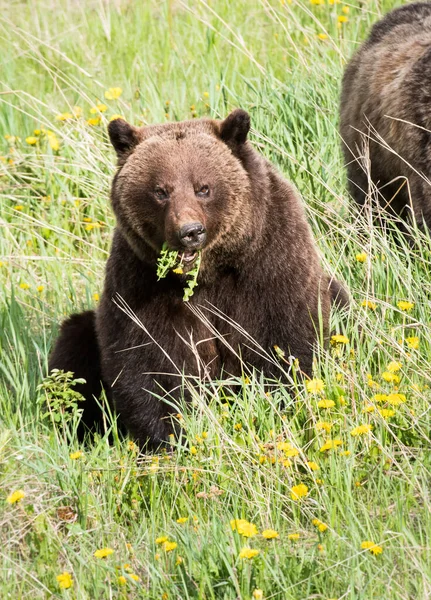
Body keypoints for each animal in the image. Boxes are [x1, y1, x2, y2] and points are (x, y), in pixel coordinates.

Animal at [49, 110, 350, 448]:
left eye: (203, 188)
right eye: (160, 190)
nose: (190, 231)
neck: (208, 272)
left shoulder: (270, 259)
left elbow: (285, 337)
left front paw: (279, 403)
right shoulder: (140, 280)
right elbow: (149, 358)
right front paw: (167, 435)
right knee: (75, 345)